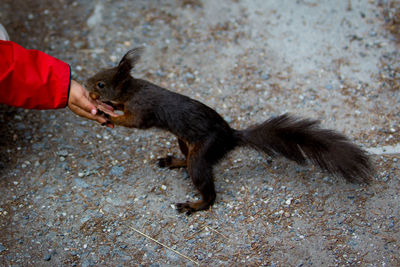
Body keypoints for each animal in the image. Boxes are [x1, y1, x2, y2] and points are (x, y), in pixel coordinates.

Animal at [86, 48, 374, 216]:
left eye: (101, 83)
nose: (87, 85)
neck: (131, 90)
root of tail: (230, 137)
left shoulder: (142, 109)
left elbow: (133, 121)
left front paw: (107, 113)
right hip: (184, 141)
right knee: (186, 160)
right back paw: (175, 161)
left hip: (204, 152)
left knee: (207, 188)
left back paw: (196, 205)